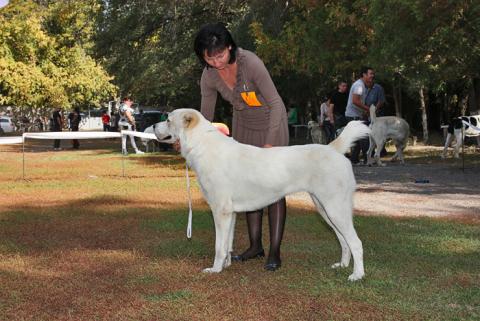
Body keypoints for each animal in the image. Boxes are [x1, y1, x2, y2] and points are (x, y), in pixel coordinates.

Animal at [156, 108, 370, 280]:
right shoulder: (231, 213)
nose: (154, 125)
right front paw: (226, 265)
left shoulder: (221, 211)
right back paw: (341, 265)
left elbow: (219, 246)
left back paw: (357, 275)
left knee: (356, 242)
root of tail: (332, 148)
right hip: (325, 209)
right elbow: (227, 244)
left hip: (335, 208)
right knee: (343, 240)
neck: (201, 144)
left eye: (169, 120)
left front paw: (215, 269)